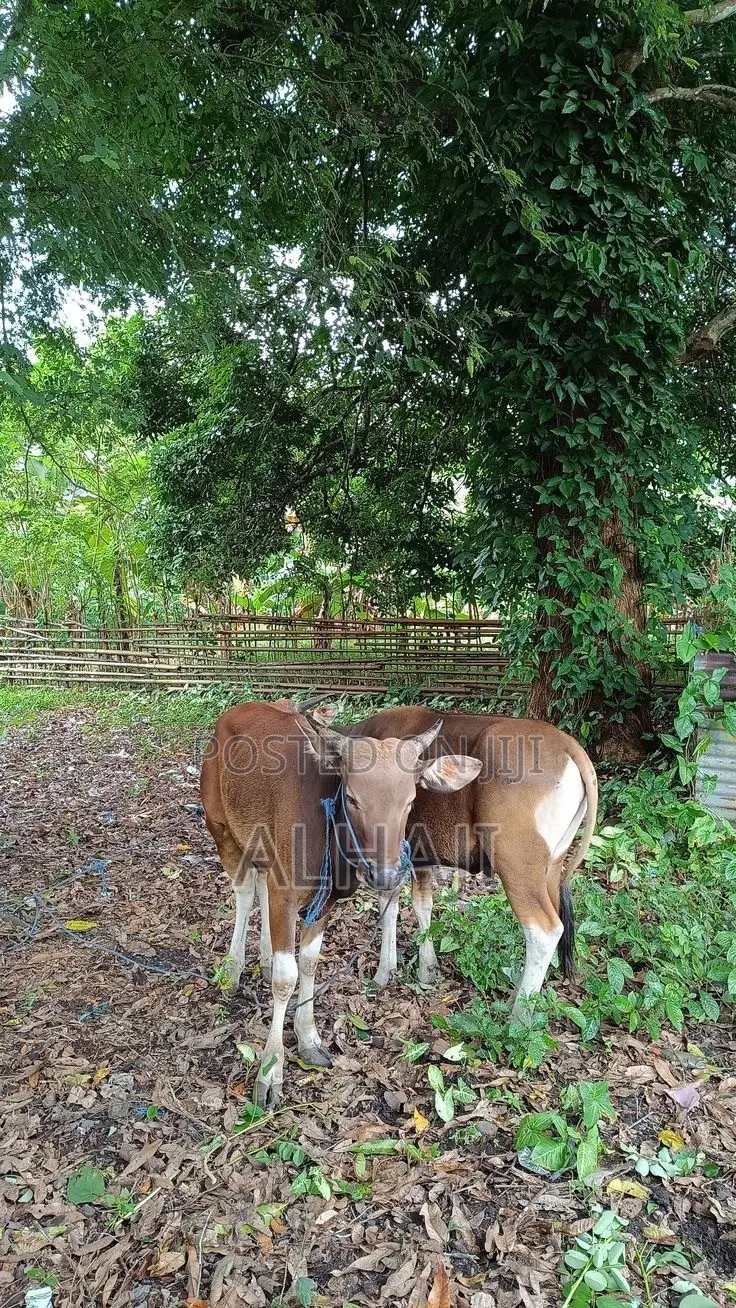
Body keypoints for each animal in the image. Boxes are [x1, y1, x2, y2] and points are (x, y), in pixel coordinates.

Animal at [200, 701, 482, 1105]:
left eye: (410, 801)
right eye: (352, 798)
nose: (386, 874)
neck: (326, 827)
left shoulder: (324, 900)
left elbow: (309, 964)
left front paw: (308, 1038)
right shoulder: (286, 892)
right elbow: (286, 979)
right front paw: (270, 1071)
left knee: (260, 889)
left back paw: (264, 958)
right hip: (220, 827)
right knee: (244, 893)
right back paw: (233, 969)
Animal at [343, 707, 598, 1017]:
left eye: (408, 800)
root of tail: (568, 746)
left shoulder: (389, 863)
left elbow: (388, 907)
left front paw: (383, 973)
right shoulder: (420, 857)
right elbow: (422, 904)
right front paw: (427, 970)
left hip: (515, 865)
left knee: (544, 930)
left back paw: (518, 1018)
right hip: (552, 866)